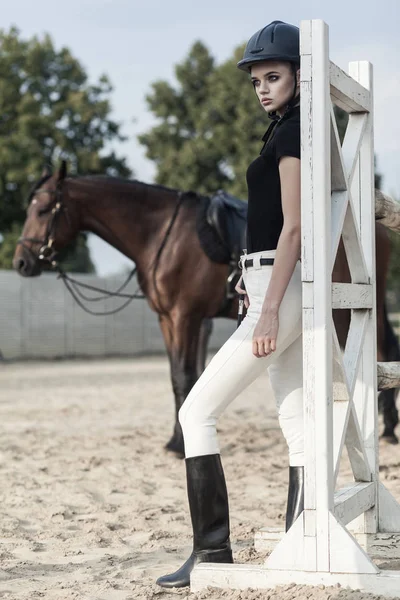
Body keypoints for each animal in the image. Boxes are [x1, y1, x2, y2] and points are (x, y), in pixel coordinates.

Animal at [13, 164, 400, 454]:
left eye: (43, 210)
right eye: (28, 208)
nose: (21, 261)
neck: (161, 235)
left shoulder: (186, 316)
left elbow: (186, 376)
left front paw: (180, 443)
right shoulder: (168, 319)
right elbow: (177, 379)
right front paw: (175, 438)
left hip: (352, 308)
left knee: (380, 353)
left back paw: (384, 430)